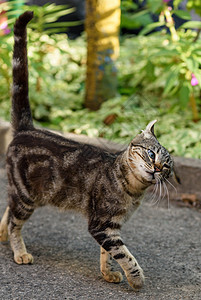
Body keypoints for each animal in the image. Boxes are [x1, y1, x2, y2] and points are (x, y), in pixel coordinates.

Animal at [0, 11, 174, 290]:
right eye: (151, 154)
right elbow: (125, 254)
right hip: (27, 196)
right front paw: (136, 279)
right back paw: (19, 252)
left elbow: (109, 254)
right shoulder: (101, 224)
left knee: (8, 210)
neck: (132, 191)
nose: (157, 168)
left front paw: (109, 273)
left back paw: (3, 234)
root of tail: (28, 128)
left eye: (166, 167)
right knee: (16, 222)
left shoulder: (111, 225)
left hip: (26, 194)